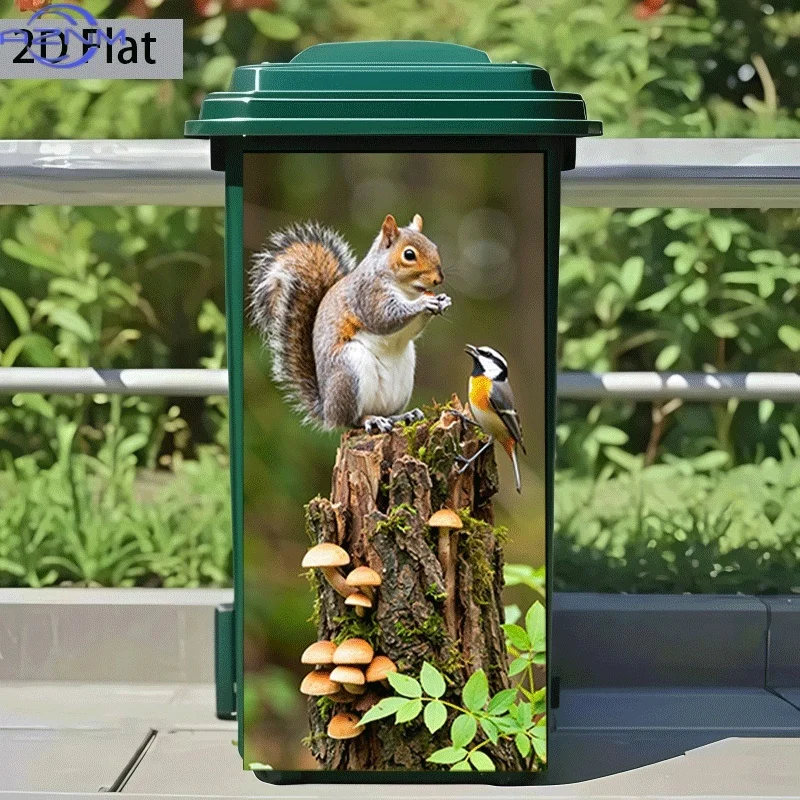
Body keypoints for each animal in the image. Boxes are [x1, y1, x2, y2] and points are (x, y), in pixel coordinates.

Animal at [249, 213, 452, 433]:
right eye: (409, 255)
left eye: (434, 247)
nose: (438, 279)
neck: (407, 290)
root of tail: (328, 410)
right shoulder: (368, 296)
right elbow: (385, 319)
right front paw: (424, 303)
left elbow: (412, 330)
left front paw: (442, 300)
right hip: (349, 372)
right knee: (352, 421)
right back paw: (371, 420)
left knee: (385, 413)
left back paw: (403, 416)